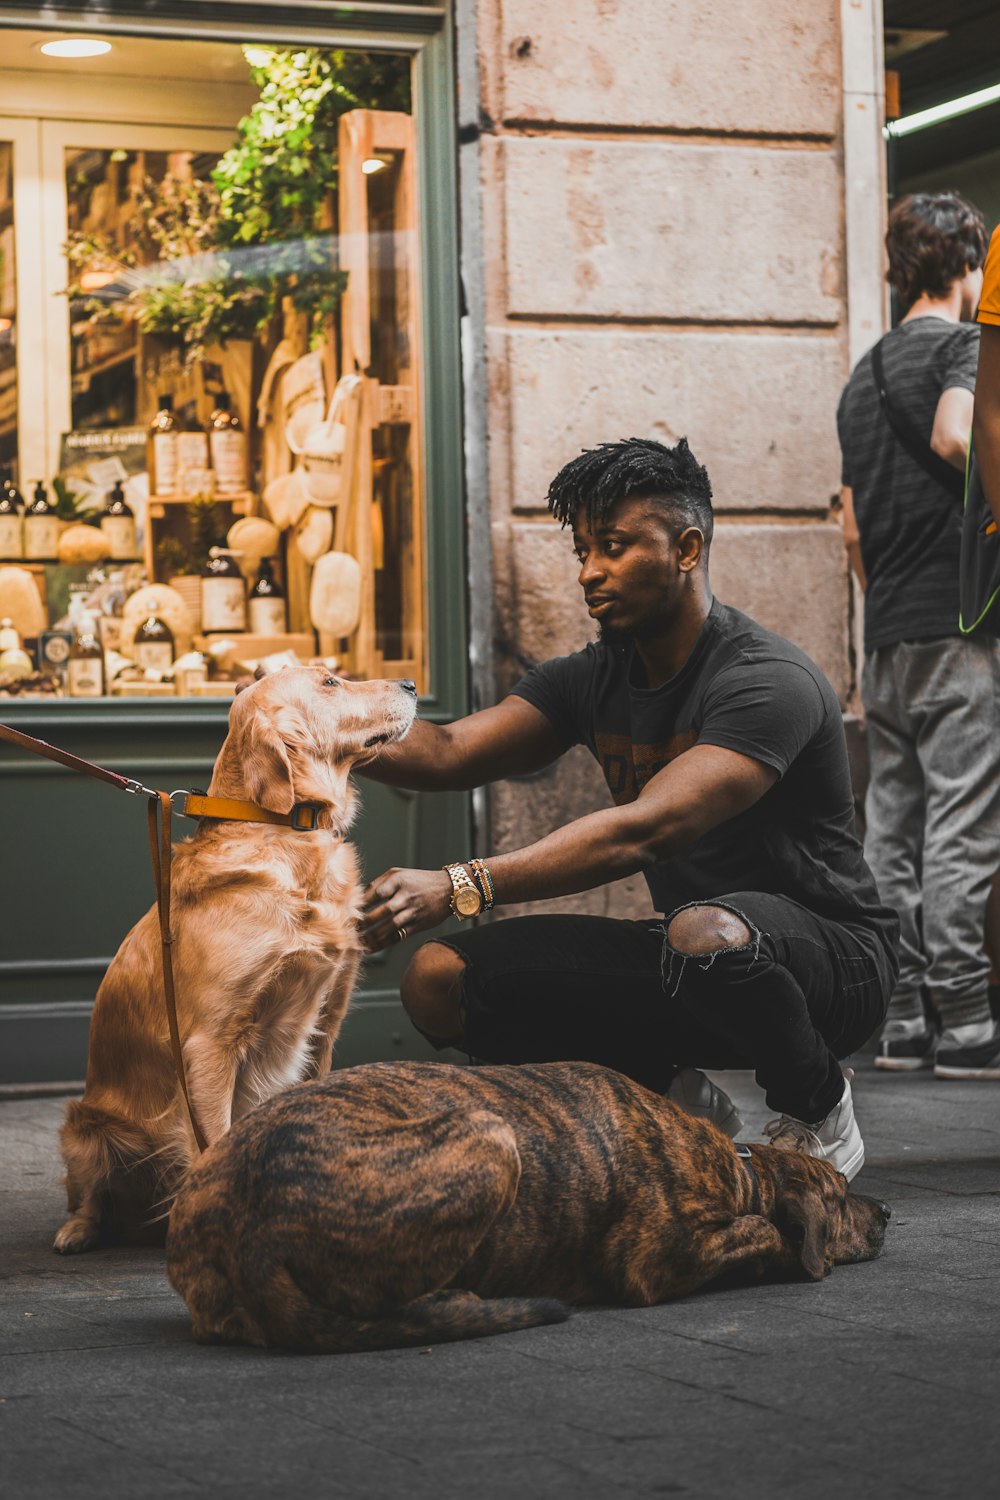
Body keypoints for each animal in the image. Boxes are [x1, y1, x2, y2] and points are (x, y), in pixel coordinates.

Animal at [166, 1056, 893, 1362]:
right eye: (839, 1194)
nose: (886, 1212)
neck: (742, 1172)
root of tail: (254, 1235)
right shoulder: (653, 1260)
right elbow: (762, 1233)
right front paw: (784, 1248)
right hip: (490, 1137)